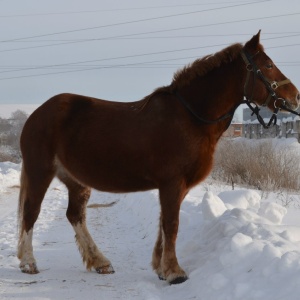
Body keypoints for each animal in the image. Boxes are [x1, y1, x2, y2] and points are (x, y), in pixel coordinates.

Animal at [17, 30, 298, 284]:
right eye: (268, 65)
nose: (294, 97)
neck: (190, 117)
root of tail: (37, 114)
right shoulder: (172, 183)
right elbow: (171, 224)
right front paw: (174, 272)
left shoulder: (178, 186)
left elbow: (164, 224)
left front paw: (162, 267)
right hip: (40, 171)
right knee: (31, 212)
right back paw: (29, 262)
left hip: (76, 180)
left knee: (75, 215)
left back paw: (100, 261)